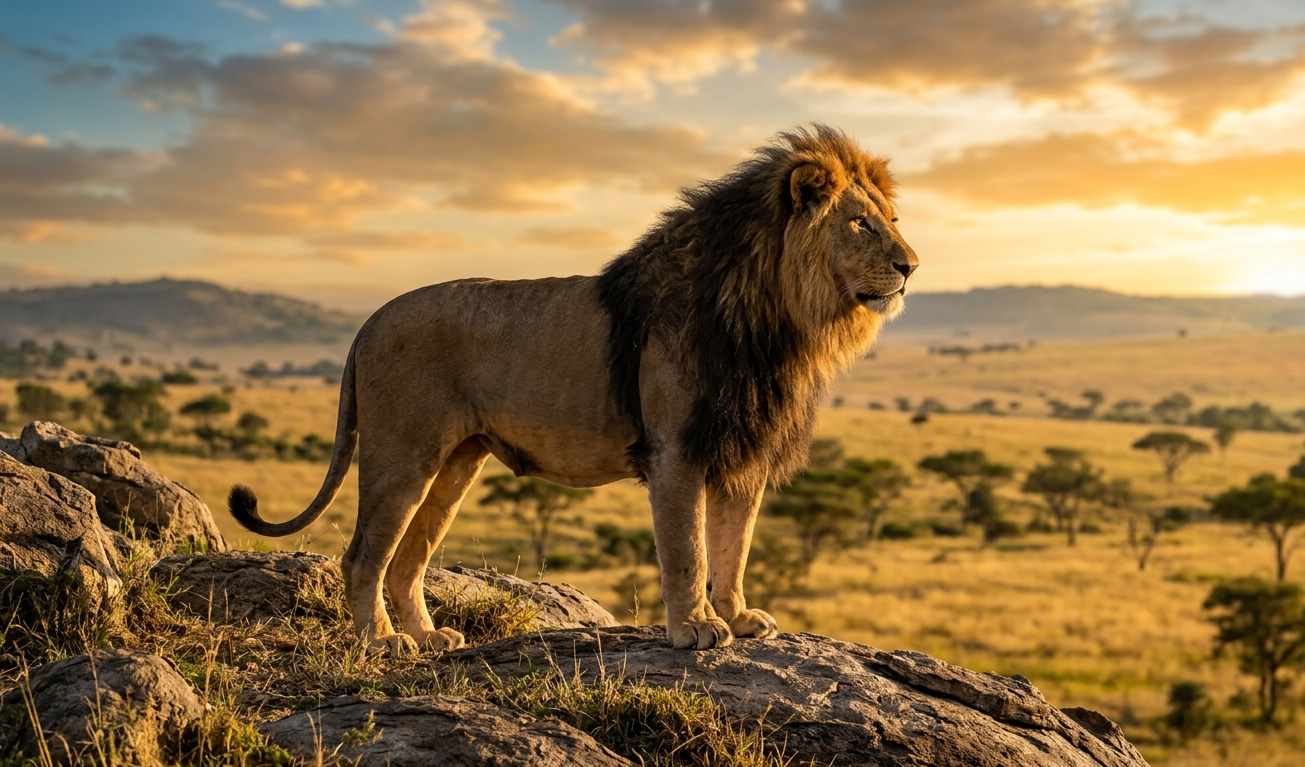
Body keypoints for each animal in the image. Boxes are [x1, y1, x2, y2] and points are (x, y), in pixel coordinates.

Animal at [228, 125, 919, 654]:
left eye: (890, 221)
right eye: (860, 224)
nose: (911, 266)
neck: (779, 321)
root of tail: (369, 320)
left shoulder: (742, 451)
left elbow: (734, 546)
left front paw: (740, 617)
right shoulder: (676, 451)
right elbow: (687, 551)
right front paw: (694, 629)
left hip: (457, 462)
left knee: (406, 559)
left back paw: (428, 638)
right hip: (403, 454)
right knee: (363, 556)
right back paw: (383, 642)